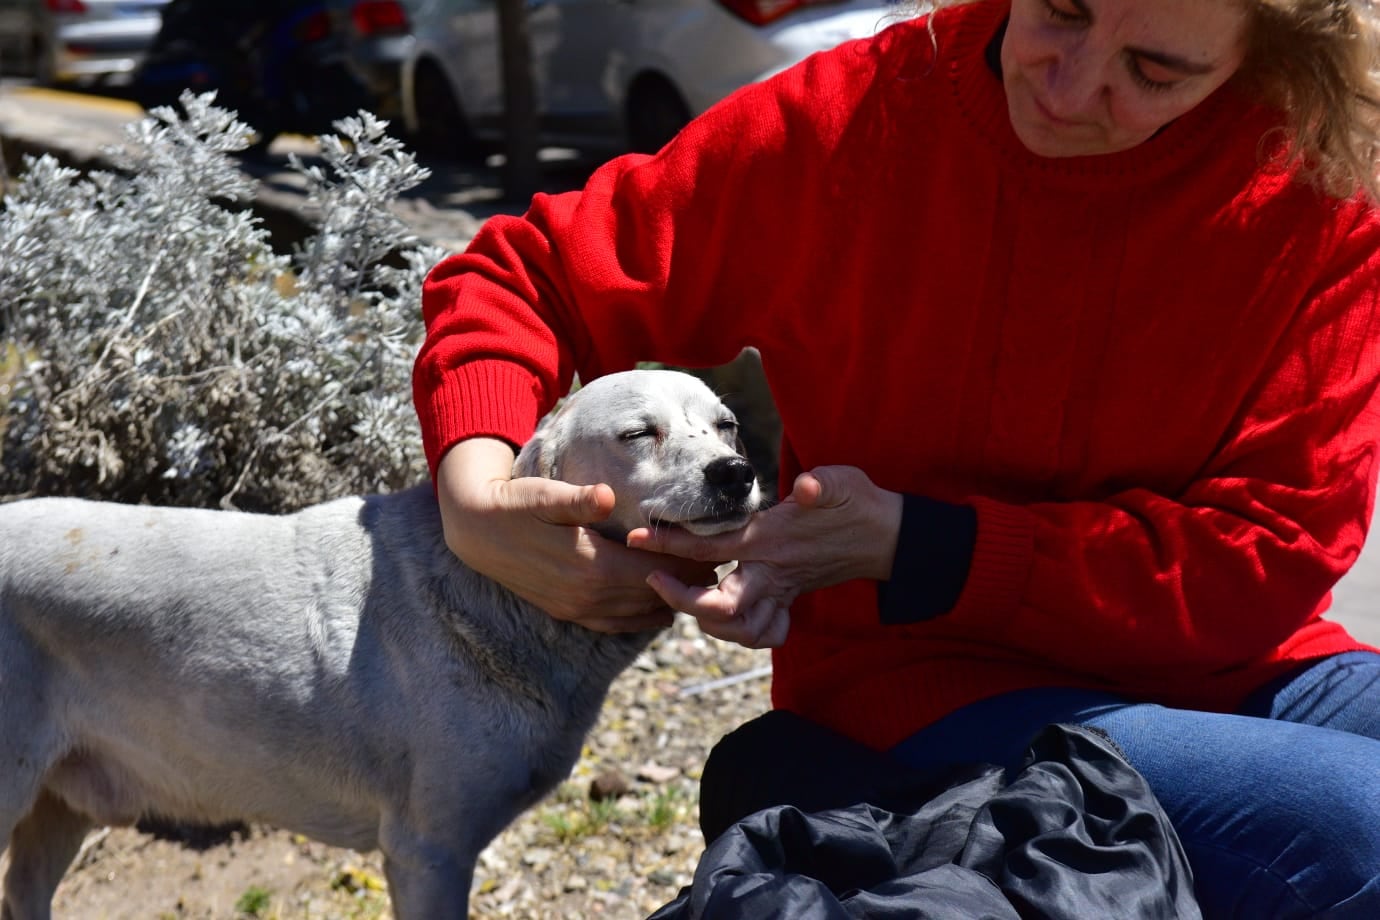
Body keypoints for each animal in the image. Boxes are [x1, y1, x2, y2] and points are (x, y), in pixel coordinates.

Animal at [0, 369, 767, 920]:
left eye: (727, 426)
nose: (735, 473)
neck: (495, 594)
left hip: (61, 803)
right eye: (639, 432)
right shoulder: (427, 854)